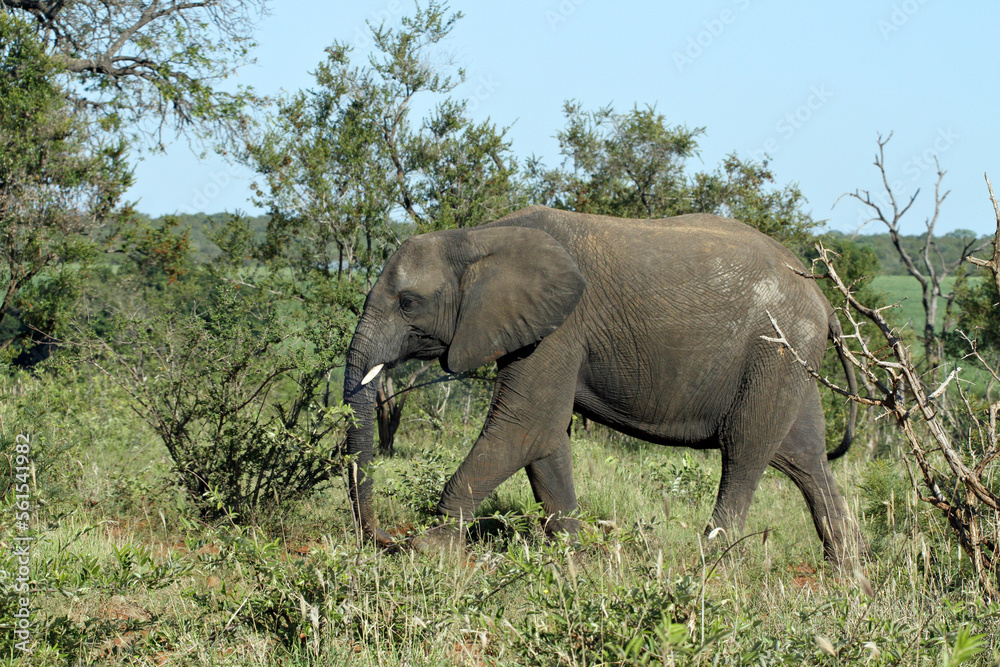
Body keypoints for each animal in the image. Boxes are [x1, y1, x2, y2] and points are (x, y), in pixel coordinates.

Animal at [343, 205, 861, 565]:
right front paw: (570, 556)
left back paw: (711, 566)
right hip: (789, 359)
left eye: (408, 303)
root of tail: (823, 297)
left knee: (745, 451)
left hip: (775, 350)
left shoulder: (560, 329)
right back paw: (847, 577)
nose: (384, 538)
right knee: (804, 458)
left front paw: (428, 551)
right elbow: (546, 440)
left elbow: (525, 427)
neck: (481, 236)